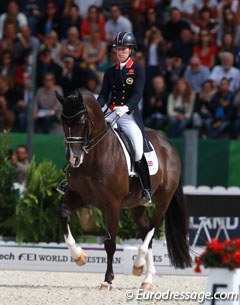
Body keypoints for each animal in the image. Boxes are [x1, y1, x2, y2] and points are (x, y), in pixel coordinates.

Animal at [54, 89, 191, 288]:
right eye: (63, 122)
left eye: (81, 122)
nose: (74, 159)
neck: (94, 156)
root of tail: (169, 144)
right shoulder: (78, 197)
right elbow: (63, 214)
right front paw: (79, 255)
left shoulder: (112, 205)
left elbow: (110, 243)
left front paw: (108, 280)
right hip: (136, 205)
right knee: (145, 230)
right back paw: (146, 277)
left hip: (163, 199)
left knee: (152, 228)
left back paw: (139, 264)